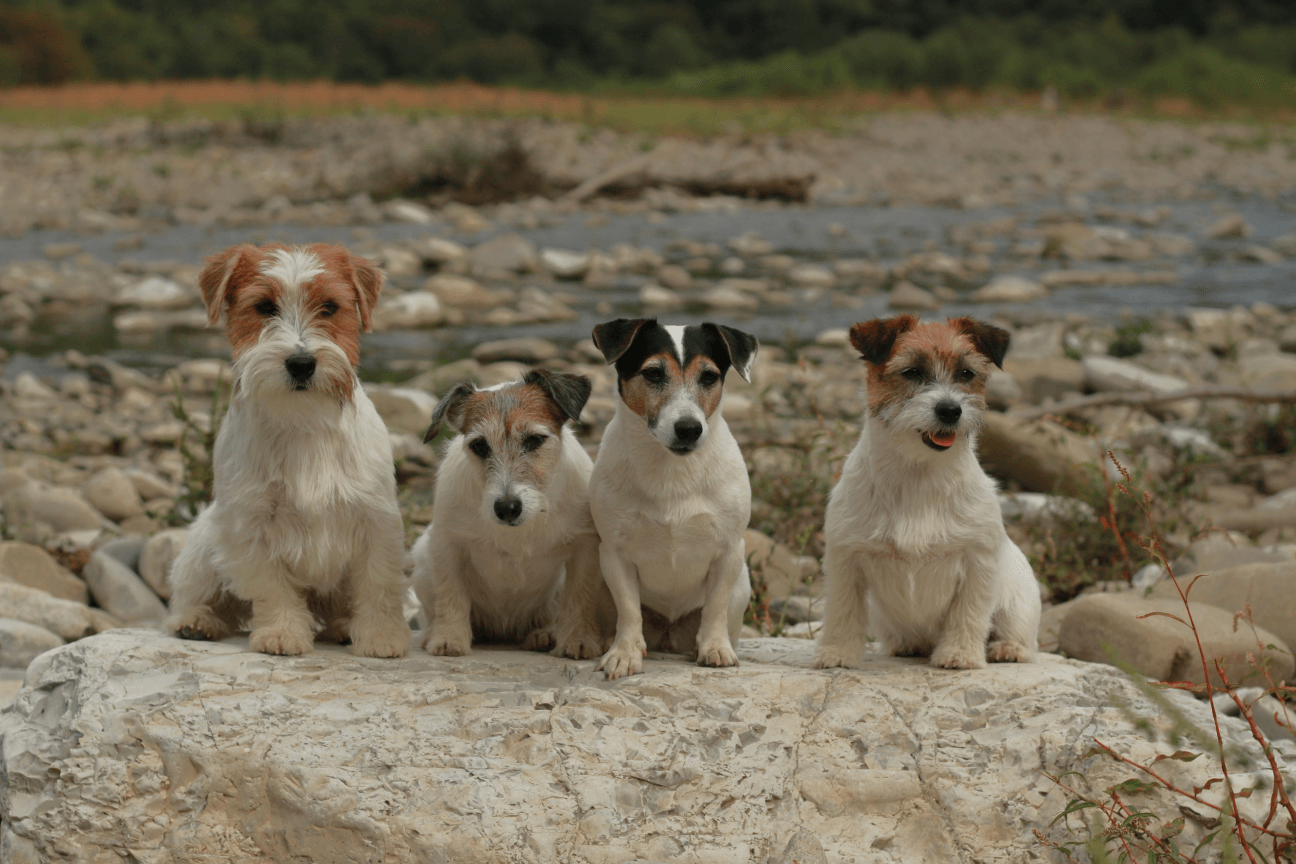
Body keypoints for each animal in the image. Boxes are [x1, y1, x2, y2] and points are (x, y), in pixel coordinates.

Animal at [167, 239, 409, 658]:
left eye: (329, 306)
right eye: (264, 306)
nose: (301, 363)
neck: (302, 421)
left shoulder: (376, 520)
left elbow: (378, 582)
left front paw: (381, 636)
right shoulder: (252, 524)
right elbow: (271, 585)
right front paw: (281, 632)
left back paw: (344, 627)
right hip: (203, 549)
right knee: (194, 593)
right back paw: (195, 621)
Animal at [414, 367, 616, 658]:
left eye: (534, 440)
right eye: (479, 445)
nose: (507, 508)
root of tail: (504, 631)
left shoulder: (585, 547)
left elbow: (579, 597)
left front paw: (577, 640)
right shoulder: (446, 545)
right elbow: (450, 595)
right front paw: (448, 638)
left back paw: (544, 634)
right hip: (421, 558)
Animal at [590, 316, 756, 673]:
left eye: (709, 377)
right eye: (653, 373)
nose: (689, 429)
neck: (671, 471)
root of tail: (668, 631)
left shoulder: (729, 552)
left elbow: (715, 605)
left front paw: (714, 648)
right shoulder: (614, 552)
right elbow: (628, 609)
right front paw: (624, 653)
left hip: (742, 586)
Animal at [813, 314, 1047, 673]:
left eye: (966, 374)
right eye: (912, 372)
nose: (950, 410)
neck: (919, 474)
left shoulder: (977, 562)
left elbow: (968, 613)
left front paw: (960, 654)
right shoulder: (845, 560)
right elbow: (842, 611)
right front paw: (837, 653)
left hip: (1018, 606)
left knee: (1021, 636)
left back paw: (1007, 648)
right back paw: (907, 645)